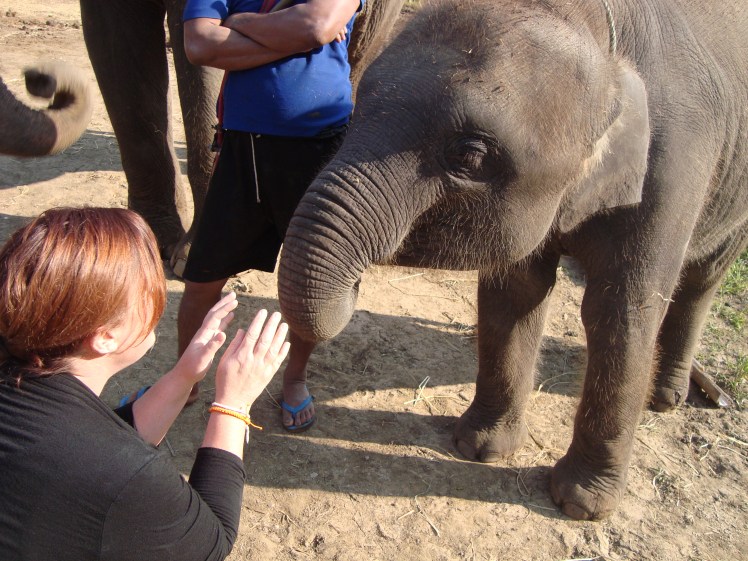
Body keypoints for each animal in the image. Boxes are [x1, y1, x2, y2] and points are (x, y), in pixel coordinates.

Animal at [277, 0, 748, 520]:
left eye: (469, 155)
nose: (357, 281)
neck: (605, 39)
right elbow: (515, 291)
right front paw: (479, 448)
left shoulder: (674, 168)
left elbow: (623, 312)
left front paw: (580, 506)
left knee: (704, 278)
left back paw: (666, 399)